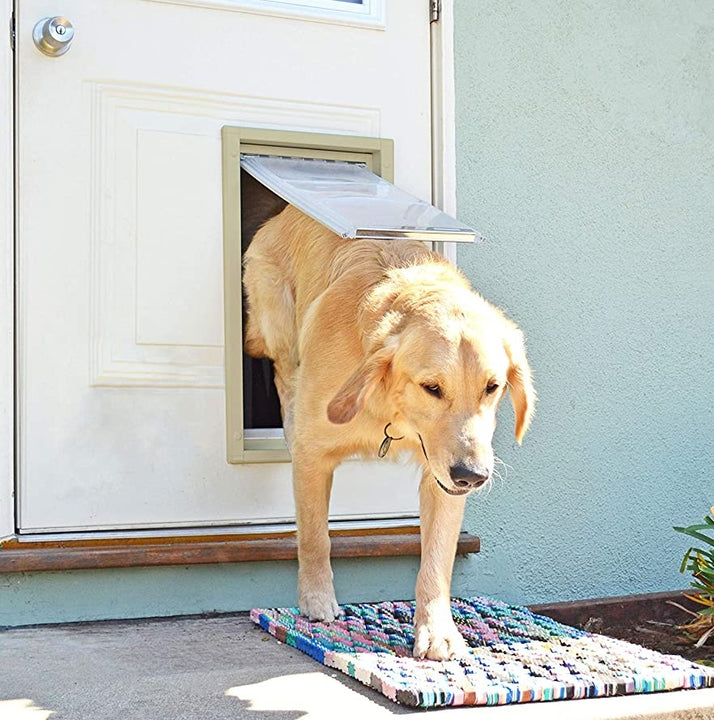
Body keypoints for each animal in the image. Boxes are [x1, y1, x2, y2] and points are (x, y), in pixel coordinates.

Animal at [242, 205, 532, 660]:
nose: (472, 476)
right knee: (282, 371)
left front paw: (437, 630)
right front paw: (316, 600)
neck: (393, 412)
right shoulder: (312, 454)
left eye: (493, 387)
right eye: (432, 387)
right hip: (278, 322)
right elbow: (314, 535)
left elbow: (437, 559)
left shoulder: (442, 479)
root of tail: (283, 211)